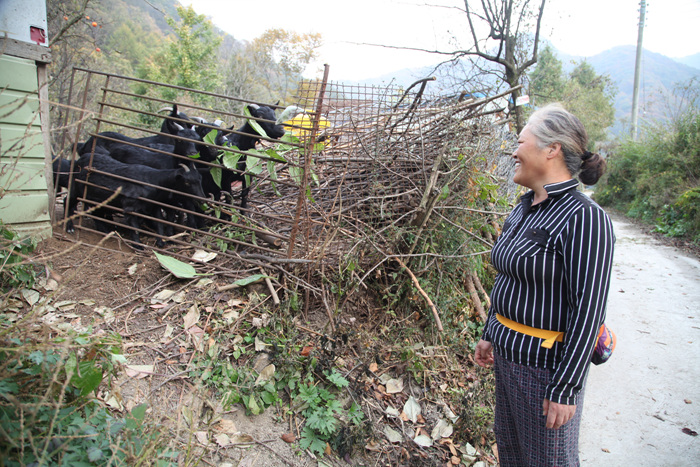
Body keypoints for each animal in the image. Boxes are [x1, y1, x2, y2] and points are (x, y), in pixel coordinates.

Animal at [65, 153, 205, 249]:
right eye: (187, 182)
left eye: (200, 179)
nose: (202, 198)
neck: (152, 181)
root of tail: (81, 159)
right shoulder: (129, 207)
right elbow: (134, 227)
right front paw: (138, 245)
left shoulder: (153, 206)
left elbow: (159, 223)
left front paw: (161, 241)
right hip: (75, 188)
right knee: (67, 200)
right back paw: (69, 227)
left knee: (96, 214)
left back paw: (107, 231)